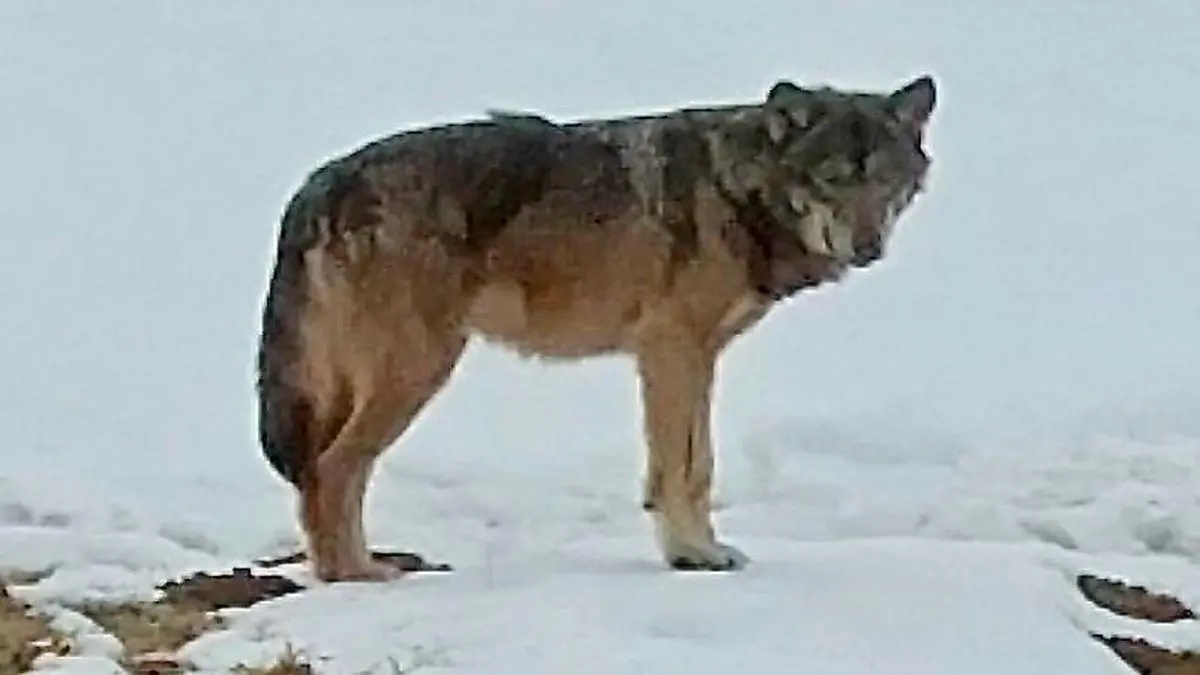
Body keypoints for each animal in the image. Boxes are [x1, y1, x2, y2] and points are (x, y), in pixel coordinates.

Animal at [255, 74, 937, 582]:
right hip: (419, 368)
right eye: (832, 178)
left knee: (321, 473)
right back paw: (358, 575)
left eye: (885, 180)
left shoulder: (695, 356)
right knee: (333, 469)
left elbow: (695, 464)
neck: (734, 188)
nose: (868, 248)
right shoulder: (672, 349)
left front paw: (698, 550)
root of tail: (319, 183)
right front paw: (693, 555)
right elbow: (684, 468)